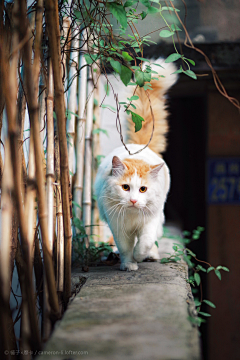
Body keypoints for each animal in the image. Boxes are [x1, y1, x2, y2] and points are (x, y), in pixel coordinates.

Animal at [94, 58, 177, 270]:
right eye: (125, 187)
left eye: (143, 189)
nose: (132, 201)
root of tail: (137, 146)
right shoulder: (118, 226)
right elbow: (124, 247)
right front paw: (129, 264)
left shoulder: (150, 221)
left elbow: (145, 241)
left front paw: (140, 256)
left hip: (159, 216)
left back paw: (151, 256)